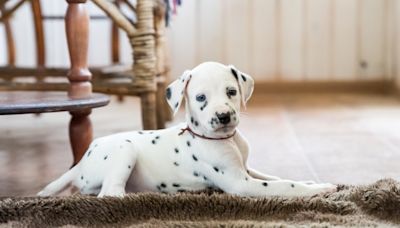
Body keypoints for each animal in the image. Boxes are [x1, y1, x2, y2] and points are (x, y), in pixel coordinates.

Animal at [38, 61, 338, 197]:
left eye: (231, 92)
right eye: (200, 97)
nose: (223, 116)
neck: (224, 139)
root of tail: (81, 161)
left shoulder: (246, 170)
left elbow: (276, 177)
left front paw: (311, 182)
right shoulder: (239, 182)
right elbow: (283, 185)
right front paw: (321, 188)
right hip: (125, 149)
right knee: (110, 192)